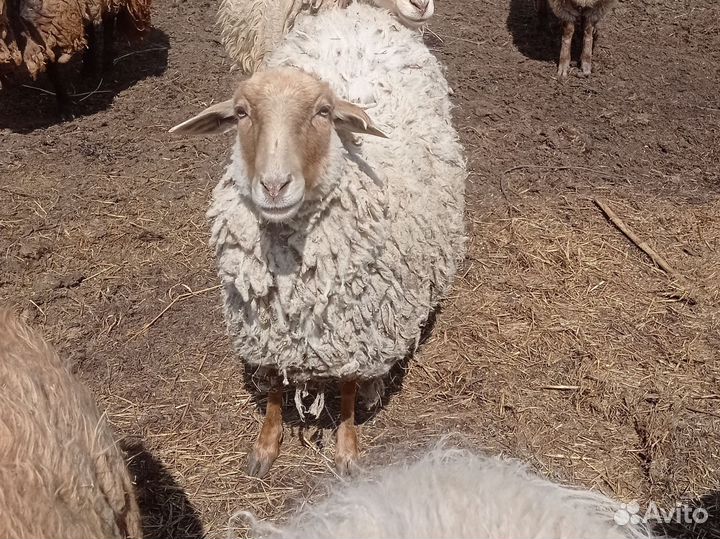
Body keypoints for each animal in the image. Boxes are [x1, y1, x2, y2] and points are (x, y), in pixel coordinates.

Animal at [0, 0, 152, 118]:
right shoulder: (44, 35)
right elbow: (52, 69)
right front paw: (64, 106)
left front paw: (66, 108)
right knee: (89, 21)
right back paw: (88, 69)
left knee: (108, 17)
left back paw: (107, 65)